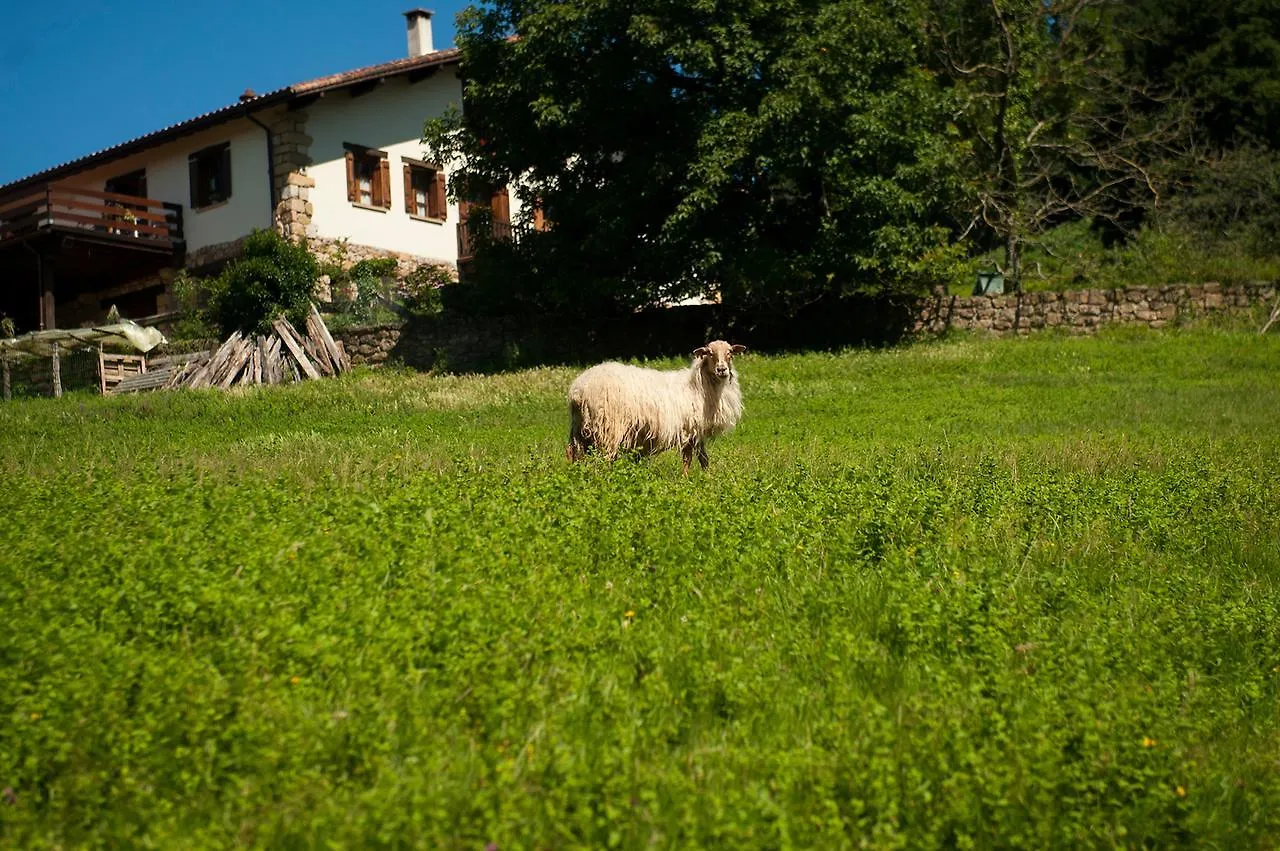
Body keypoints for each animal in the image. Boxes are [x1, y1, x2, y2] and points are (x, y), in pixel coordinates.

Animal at [565, 337, 747, 470]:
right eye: (709, 353)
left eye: (730, 353)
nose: (722, 370)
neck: (699, 386)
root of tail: (578, 389)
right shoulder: (689, 428)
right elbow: (688, 459)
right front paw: (686, 480)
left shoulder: (697, 430)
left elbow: (703, 458)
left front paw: (707, 476)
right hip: (608, 427)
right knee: (604, 457)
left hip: (580, 426)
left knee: (572, 452)